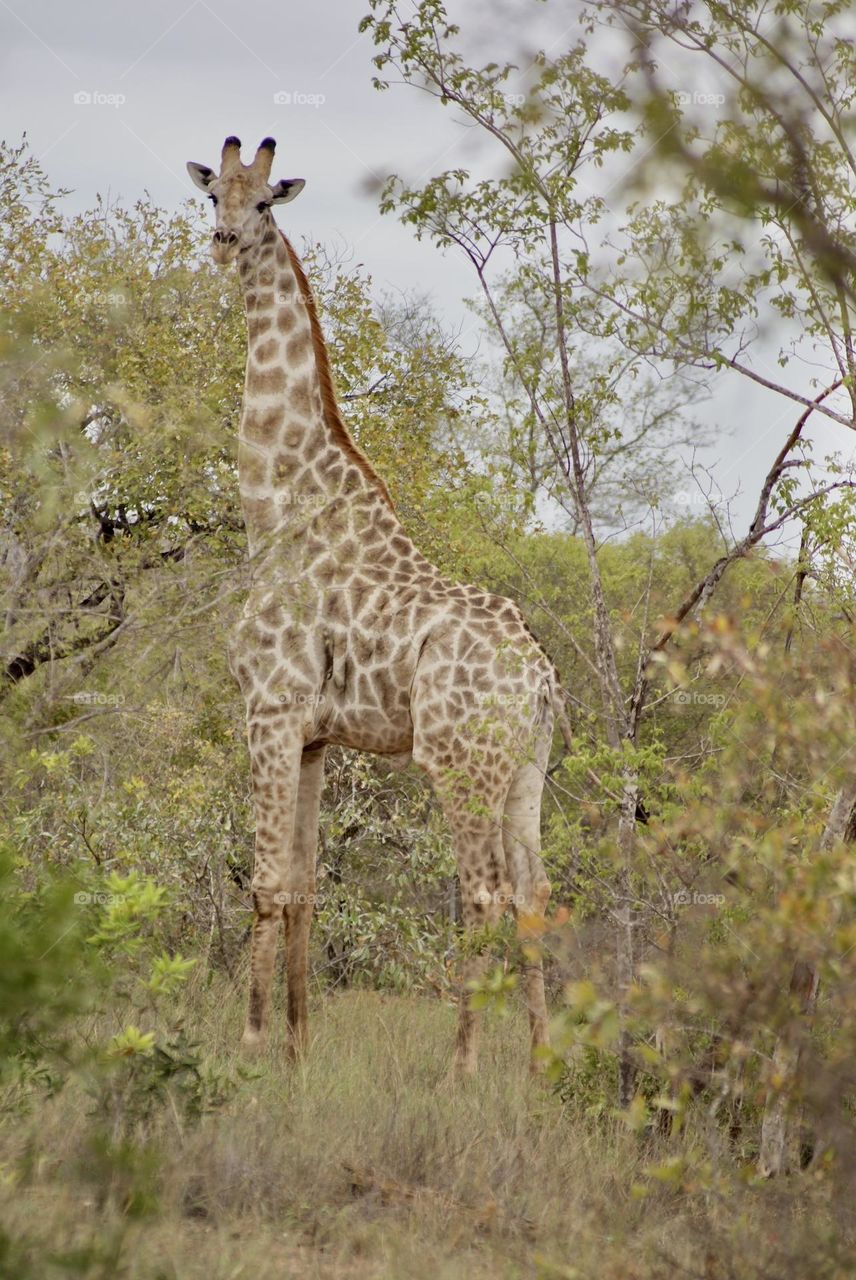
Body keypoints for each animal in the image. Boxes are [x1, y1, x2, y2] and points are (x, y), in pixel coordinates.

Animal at [188, 137, 573, 1070]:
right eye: (214, 194)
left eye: (265, 205)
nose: (221, 242)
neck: (275, 508)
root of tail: (542, 679)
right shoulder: (316, 734)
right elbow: (304, 884)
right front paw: (296, 1050)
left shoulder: (268, 708)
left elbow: (265, 881)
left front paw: (249, 1045)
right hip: (526, 767)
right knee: (535, 892)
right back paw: (541, 1067)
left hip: (460, 761)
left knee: (482, 892)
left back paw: (461, 1069)